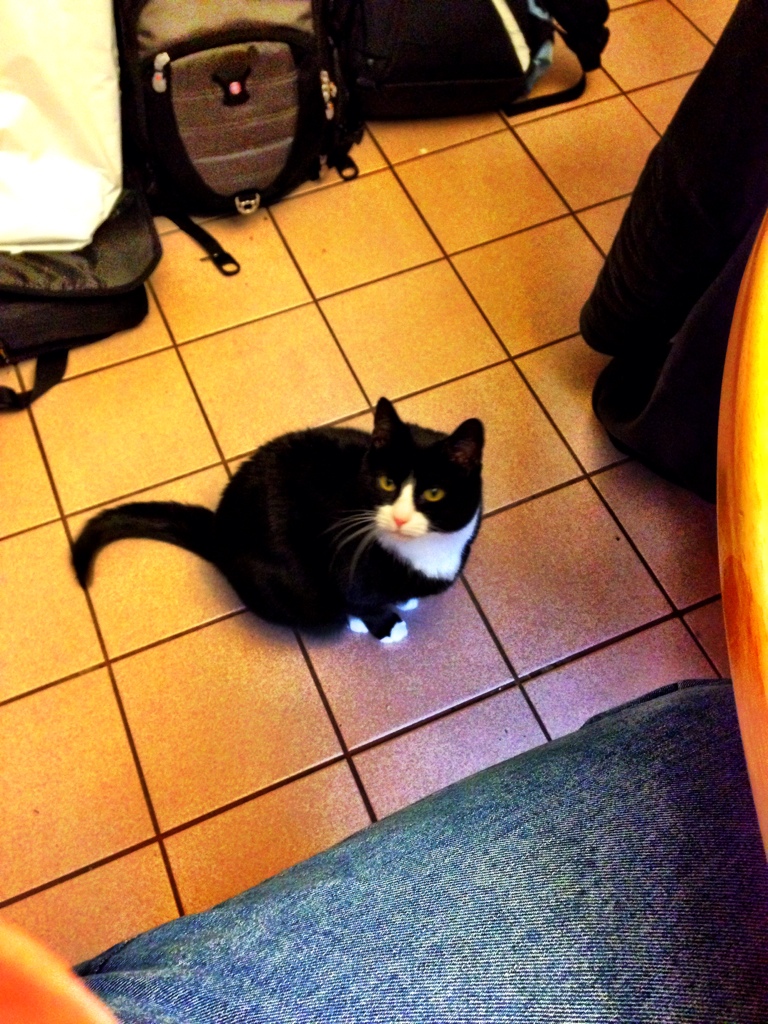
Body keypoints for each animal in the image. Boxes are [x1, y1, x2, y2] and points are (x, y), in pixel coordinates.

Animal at [72, 397, 484, 643]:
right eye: (386, 483)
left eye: (434, 493)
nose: (399, 518)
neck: (425, 555)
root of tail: (219, 530)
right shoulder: (346, 562)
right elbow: (361, 601)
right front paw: (384, 624)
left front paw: (406, 601)